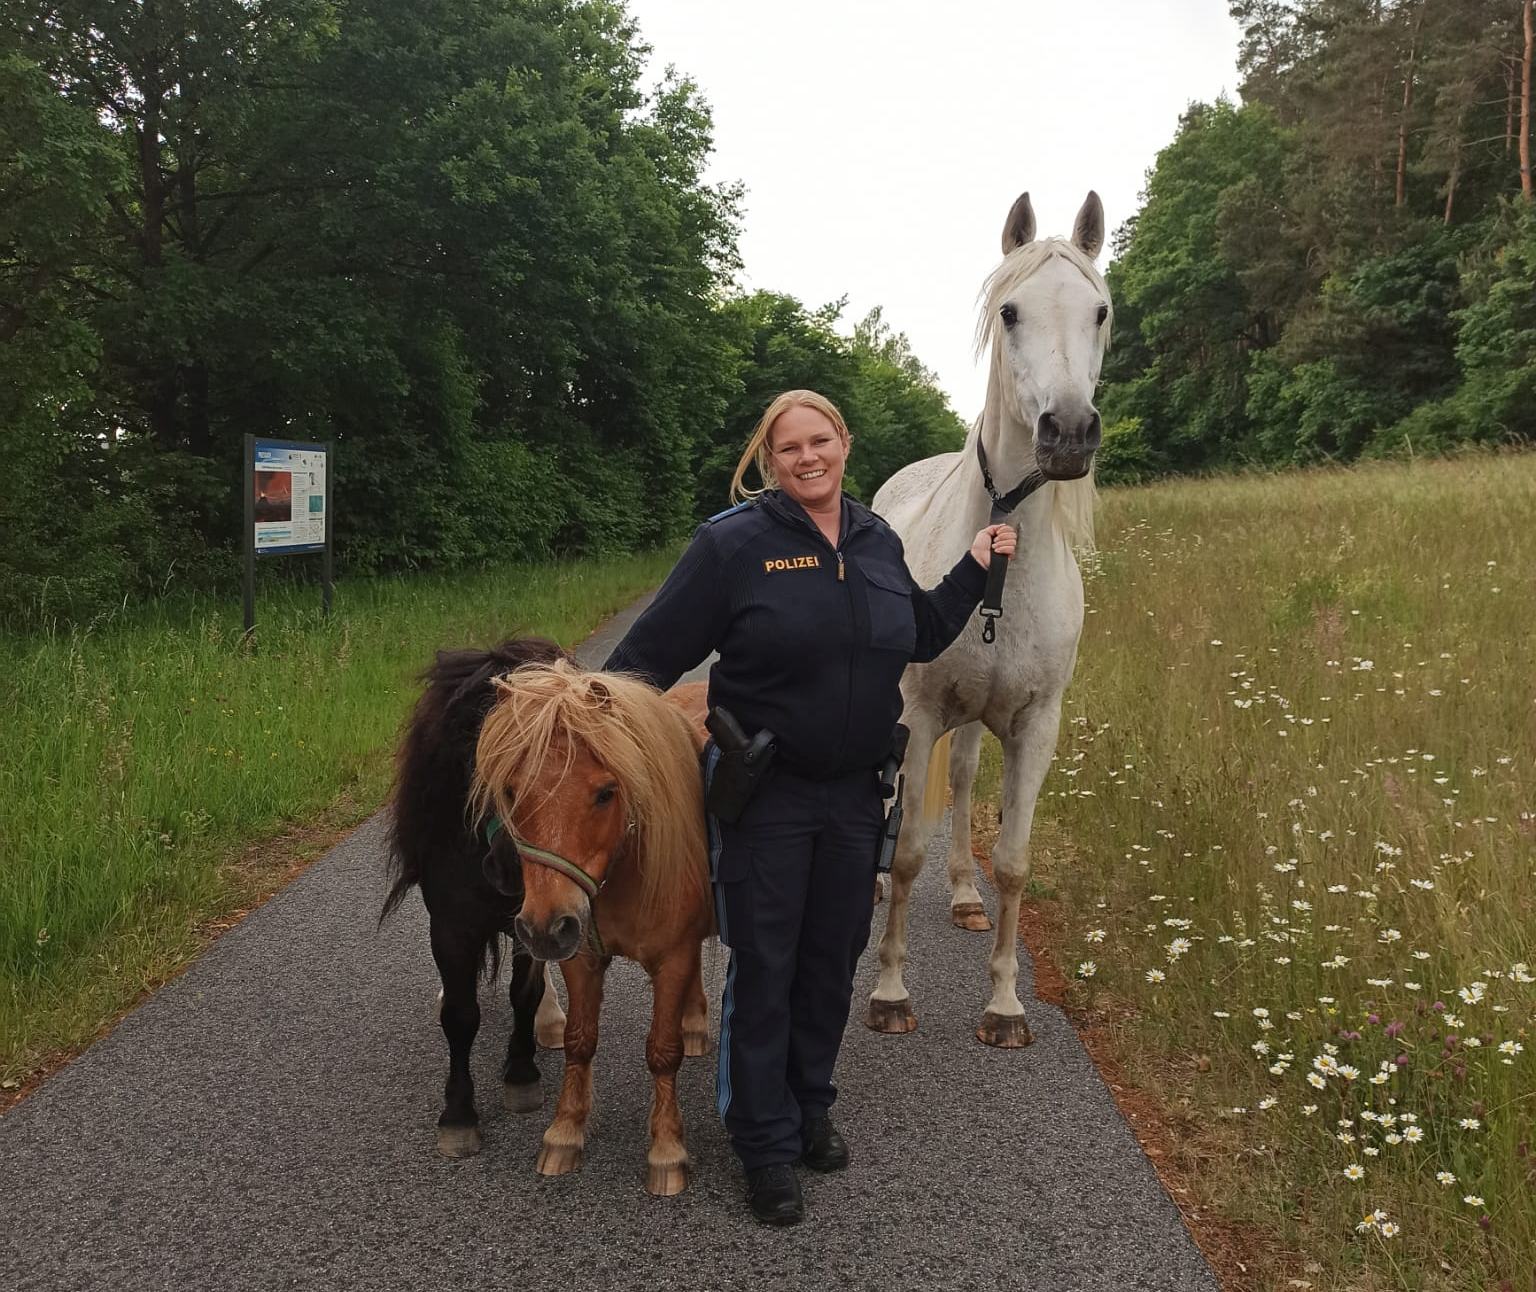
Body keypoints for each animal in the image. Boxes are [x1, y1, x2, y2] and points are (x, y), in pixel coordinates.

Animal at [872, 191, 1112, 1050]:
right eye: (1010, 311)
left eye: (1100, 311)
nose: (1068, 432)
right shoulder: (915, 713)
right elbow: (907, 849)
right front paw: (890, 992)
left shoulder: (1036, 724)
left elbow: (1013, 860)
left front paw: (1006, 1004)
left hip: (978, 721)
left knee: (966, 782)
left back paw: (965, 896)